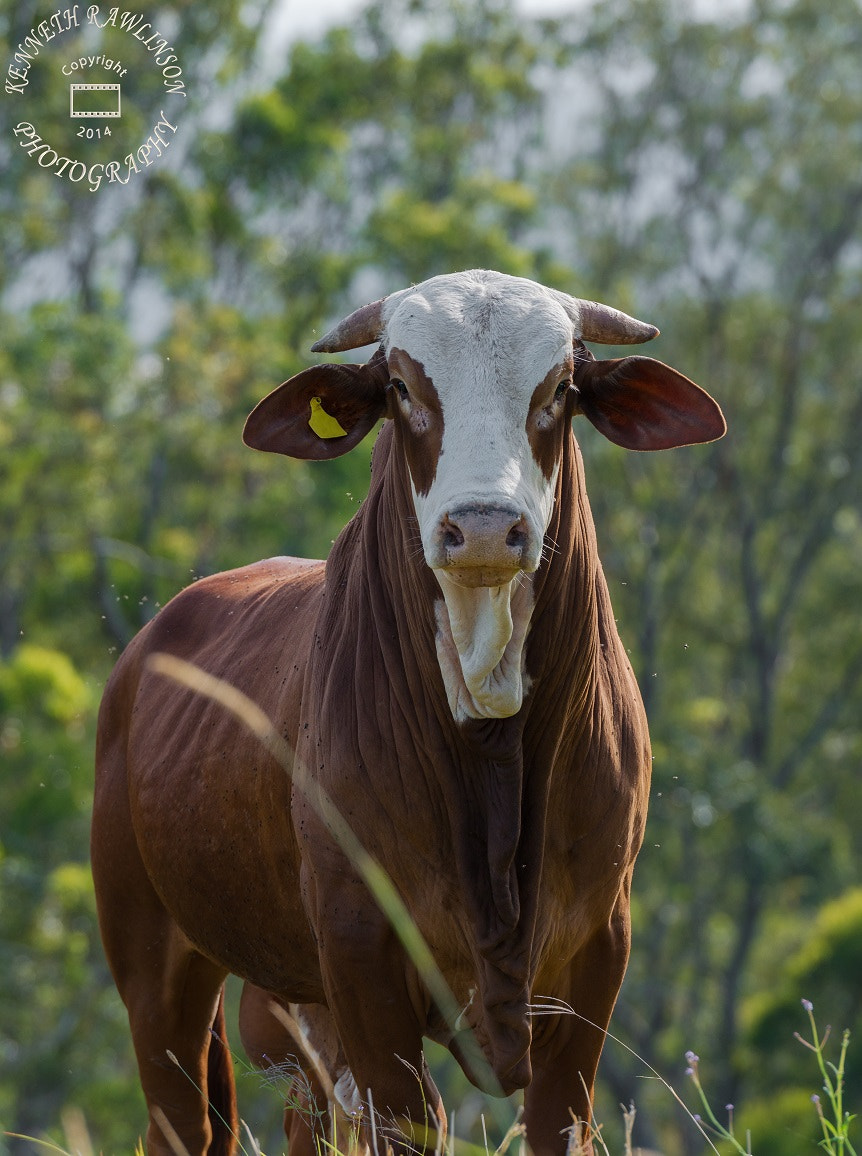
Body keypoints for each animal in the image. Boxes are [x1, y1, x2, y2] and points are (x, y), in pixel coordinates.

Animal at [92, 269, 725, 1156]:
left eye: (560, 386)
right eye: (400, 388)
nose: (485, 528)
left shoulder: (600, 948)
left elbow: (558, 1121)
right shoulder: (364, 951)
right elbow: (405, 1121)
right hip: (155, 963)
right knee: (183, 1122)